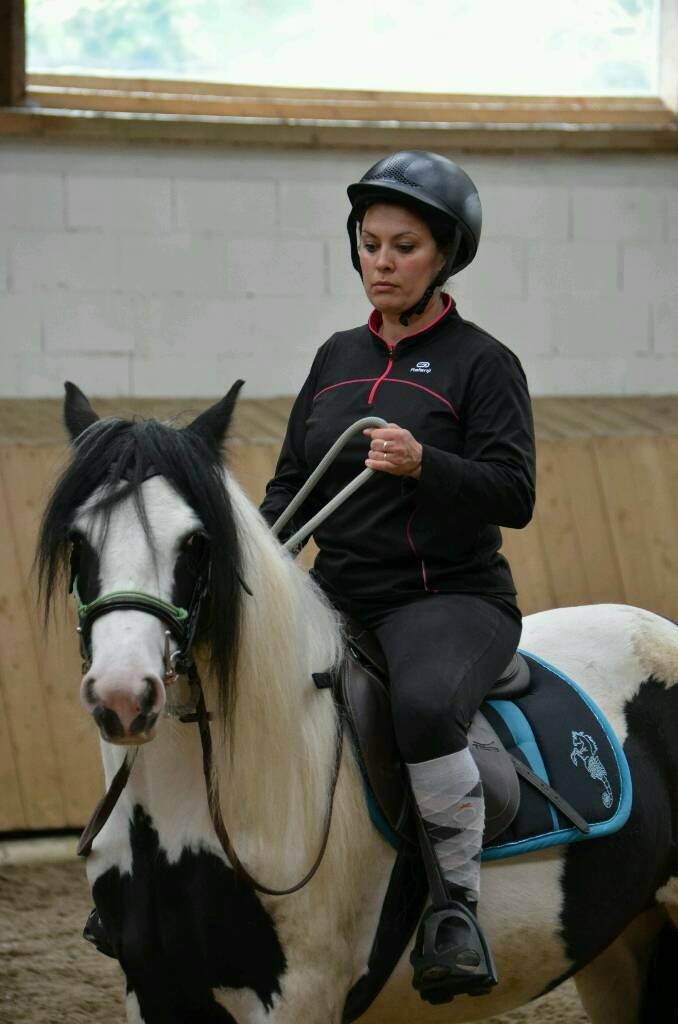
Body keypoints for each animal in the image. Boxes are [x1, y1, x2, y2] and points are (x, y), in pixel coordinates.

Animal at [38, 385, 678, 1024]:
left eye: (194, 541)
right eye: (78, 538)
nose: (124, 693)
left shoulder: (296, 998)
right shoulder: (153, 990)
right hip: (617, 951)